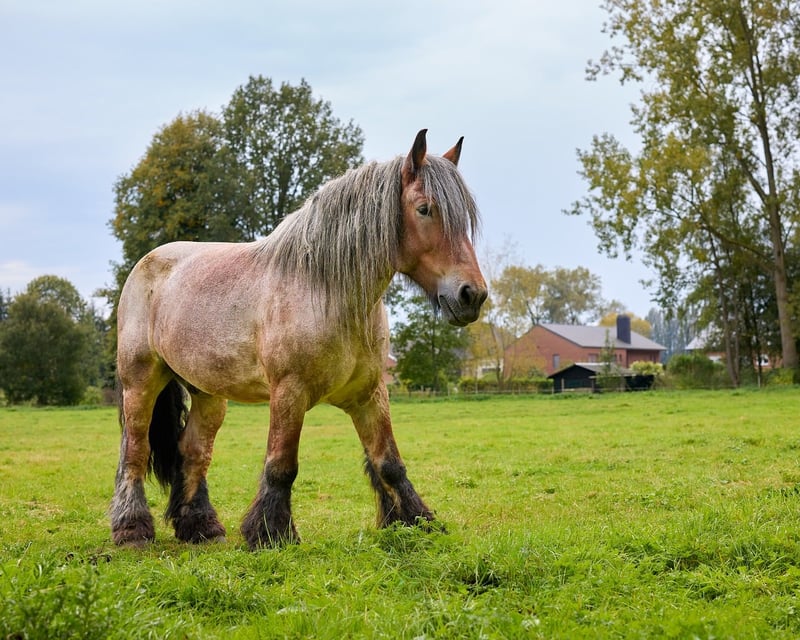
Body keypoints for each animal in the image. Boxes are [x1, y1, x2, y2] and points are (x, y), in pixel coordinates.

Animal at [110, 129, 488, 549]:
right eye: (424, 209)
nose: (471, 295)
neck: (324, 290)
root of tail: (147, 263)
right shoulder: (289, 392)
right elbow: (281, 465)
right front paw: (270, 533)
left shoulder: (370, 394)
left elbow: (388, 462)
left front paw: (416, 522)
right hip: (141, 382)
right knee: (135, 451)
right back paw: (131, 529)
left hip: (208, 394)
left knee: (193, 452)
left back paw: (201, 528)